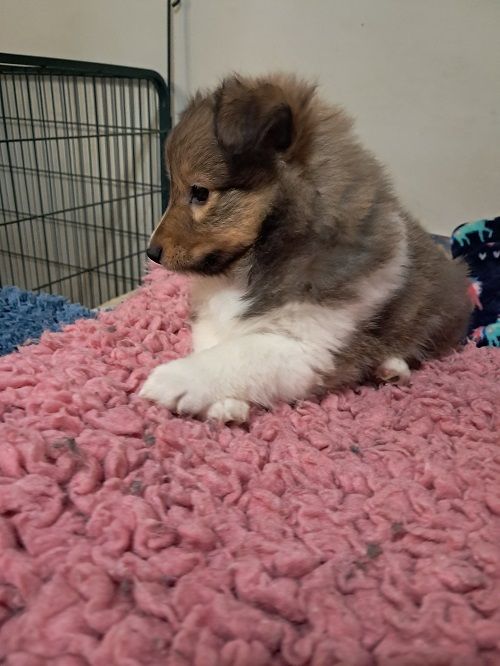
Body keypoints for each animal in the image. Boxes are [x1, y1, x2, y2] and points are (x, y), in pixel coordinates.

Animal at [139, 73, 471, 423]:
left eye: (200, 192)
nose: (151, 253)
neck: (243, 270)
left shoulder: (308, 346)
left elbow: (235, 356)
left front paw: (173, 380)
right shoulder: (210, 317)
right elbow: (214, 344)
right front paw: (226, 407)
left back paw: (391, 367)